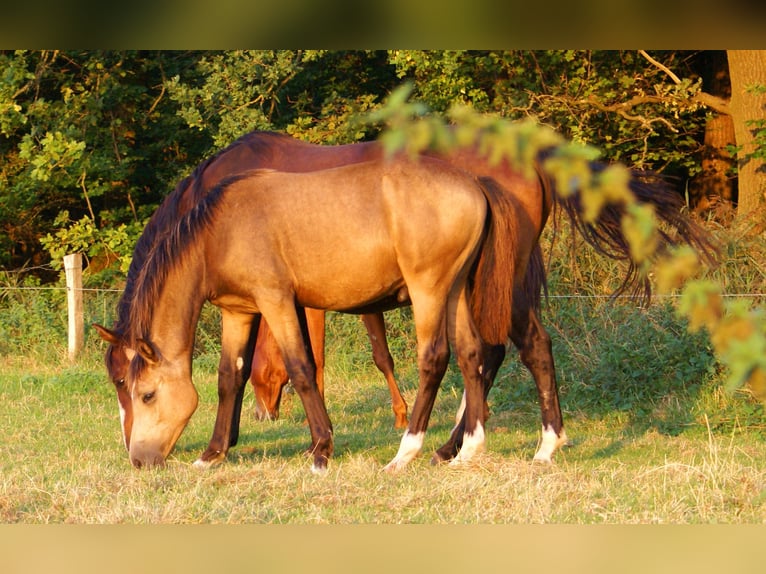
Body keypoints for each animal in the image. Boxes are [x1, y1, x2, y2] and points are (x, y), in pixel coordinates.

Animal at [97, 155, 528, 470]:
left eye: (146, 394)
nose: (139, 460)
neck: (219, 231)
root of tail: (475, 184)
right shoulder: (238, 312)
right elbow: (229, 378)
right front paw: (213, 453)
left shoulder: (276, 302)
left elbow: (302, 368)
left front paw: (321, 448)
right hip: (455, 293)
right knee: (472, 355)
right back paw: (467, 448)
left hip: (429, 292)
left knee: (434, 360)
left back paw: (406, 452)